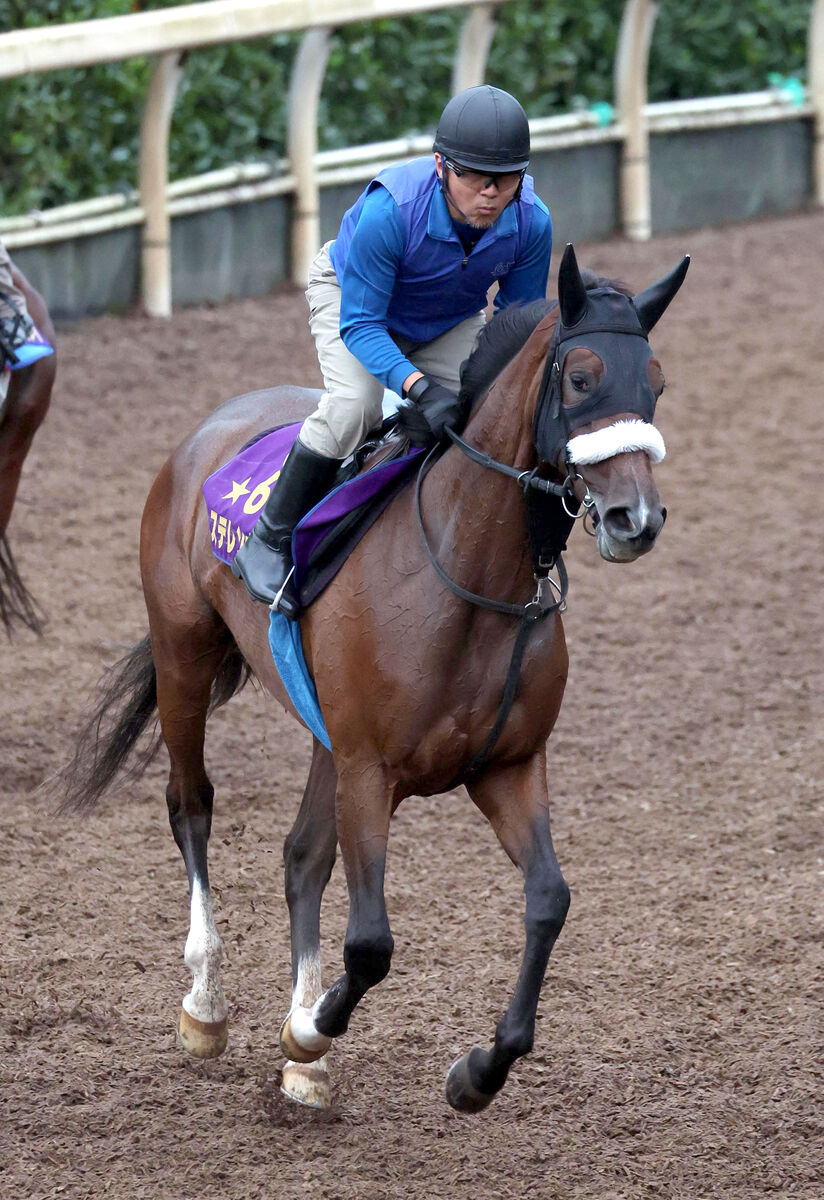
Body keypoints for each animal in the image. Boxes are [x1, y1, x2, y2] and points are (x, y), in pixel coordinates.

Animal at [61, 246, 686, 1113]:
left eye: (655, 381)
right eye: (583, 377)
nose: (637, 519)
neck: (466, 573)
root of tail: (208, 430)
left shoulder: (505, 766)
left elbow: (549, 902)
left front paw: (478, 1071)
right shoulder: (370, 768)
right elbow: (371, 943)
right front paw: (307, 1030)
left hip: (322, 725)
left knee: (301, 855)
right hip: (184, 654)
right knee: (192, 806)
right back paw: (208, 1006)